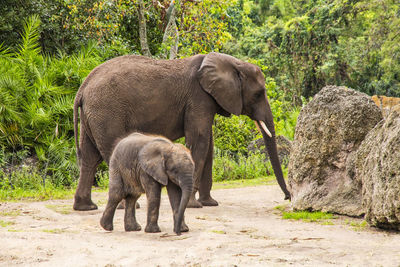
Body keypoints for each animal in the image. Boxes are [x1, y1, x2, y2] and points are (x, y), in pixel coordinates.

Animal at [72, 52, 290, 211]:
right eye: (259, 94)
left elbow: (208, 145)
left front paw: (210, 204)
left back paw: (86, 207)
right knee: (111, 154)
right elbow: (199, 142)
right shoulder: (198, 98)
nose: (287, 197)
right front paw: (194, 205)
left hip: (94, 115)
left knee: (90, 158)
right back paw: (127, 205)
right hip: (107, 112)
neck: (232, 62)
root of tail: (82, 88)